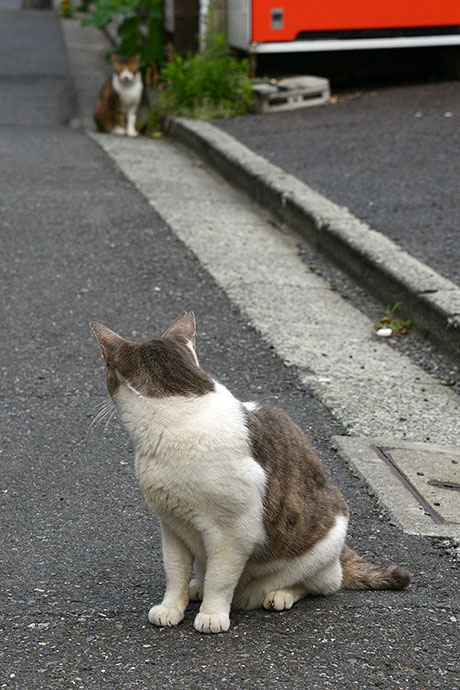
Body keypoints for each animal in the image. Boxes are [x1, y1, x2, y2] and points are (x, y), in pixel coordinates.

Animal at [90, 314, 410, 632]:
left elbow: (220, 579)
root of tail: (342, 550)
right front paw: (172, 607)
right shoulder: (172, 525)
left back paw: (279, 594)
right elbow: (175, 572)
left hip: (324, 540)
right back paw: (198, 586)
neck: (177, 415)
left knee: (320, 583)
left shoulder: (233, 534)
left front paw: (212, 615)